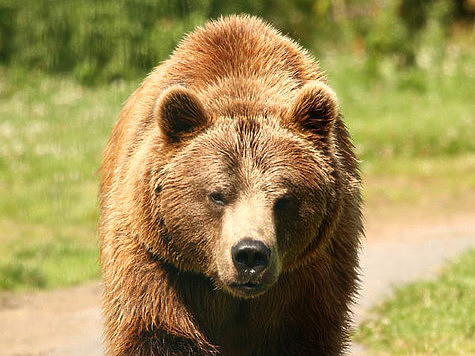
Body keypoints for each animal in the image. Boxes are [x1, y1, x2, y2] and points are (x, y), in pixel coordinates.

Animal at [98, 14, 362, 356]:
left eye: (284, 199)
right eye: (217, 195)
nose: (249, 254)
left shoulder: (311, 273)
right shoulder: (156, 257)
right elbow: (158, 331)